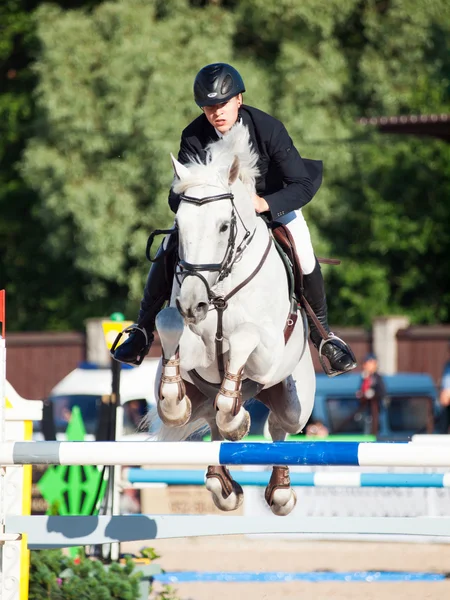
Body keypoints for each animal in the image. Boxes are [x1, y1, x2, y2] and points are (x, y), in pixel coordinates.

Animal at [155, 123, 316, 516]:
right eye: (179, 225)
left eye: (224, 226)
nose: (193, 304)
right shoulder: (189, 342)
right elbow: (168, 323)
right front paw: (176, 401)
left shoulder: (267, 349)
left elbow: (243, 339)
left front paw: (238, 417)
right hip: (205, 395)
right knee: (213, 423)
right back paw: (223, 483)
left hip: (295, 402)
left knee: (278, 428)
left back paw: (280, 491)